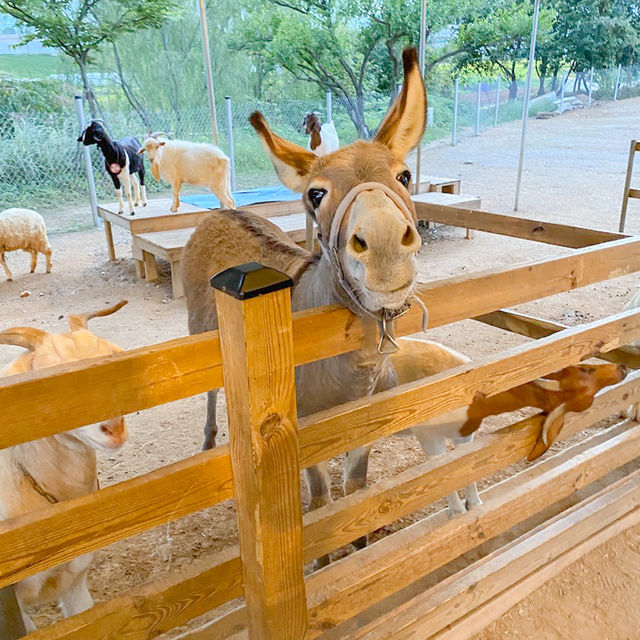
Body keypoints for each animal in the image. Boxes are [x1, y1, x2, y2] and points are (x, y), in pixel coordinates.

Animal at [182, 49, 426, 561]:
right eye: (315, 194)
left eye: (404, 176)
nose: (383, 246)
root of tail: (220, 210)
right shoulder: (301, 433)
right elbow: (320, 497)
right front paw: (323, 558)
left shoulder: (364, 424)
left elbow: (355, 489)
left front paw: (359, 545)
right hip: (199, 332)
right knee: (212, 390)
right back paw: (211, 439)